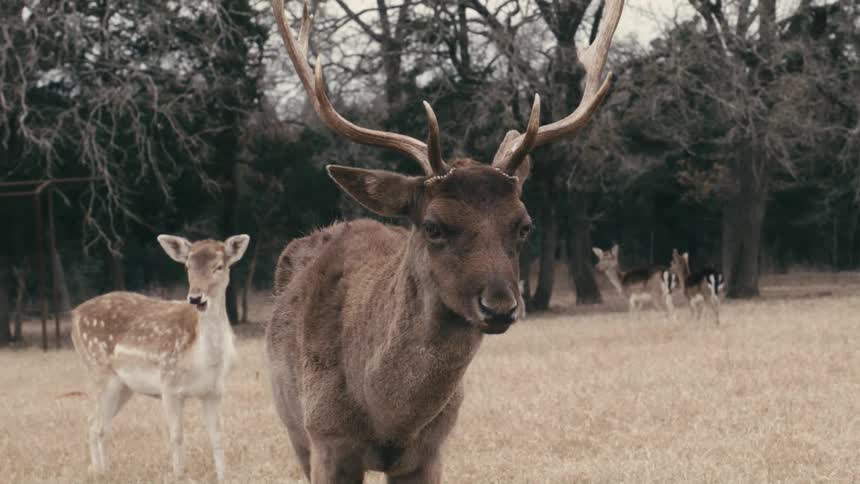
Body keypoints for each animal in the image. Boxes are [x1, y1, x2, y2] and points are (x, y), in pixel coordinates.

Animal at [70, 234, 250, 482]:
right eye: (187, 266)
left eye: (219, 266)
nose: (196, 298)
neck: (204, 359)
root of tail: (73, 316)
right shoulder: (169, 383)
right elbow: (177, 436)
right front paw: (179, 475)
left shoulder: (214, 390)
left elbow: (218, 436)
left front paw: (223, 477)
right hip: (98, 372)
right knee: (92, 424)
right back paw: (99, 473)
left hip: (124, 386)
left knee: (100, 426)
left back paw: (104, 472)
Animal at [266, 0, 624, 482]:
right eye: (433, 225)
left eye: (524, 225)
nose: (500, 306)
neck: (385, 418)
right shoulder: (325, 439)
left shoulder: (432, 447)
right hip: (293, 428)